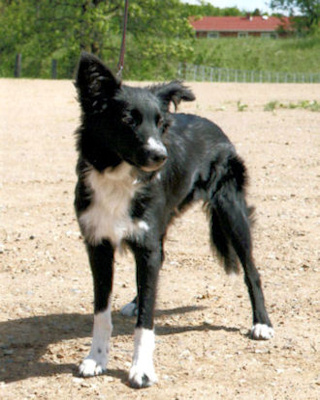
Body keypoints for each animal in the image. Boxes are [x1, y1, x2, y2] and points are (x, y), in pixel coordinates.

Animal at [74, 51, 274, 390]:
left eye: (160, 123)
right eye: (127, 119)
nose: (161, 157)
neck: (119, 177)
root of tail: (215, 127)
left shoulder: (146, 245)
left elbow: (146, 322)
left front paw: (142, 369)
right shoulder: (98, 244)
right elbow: (101, 310)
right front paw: (96, 359)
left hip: (231, 211)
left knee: (252, 271)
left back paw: (261, 323)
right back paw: (135, 301)